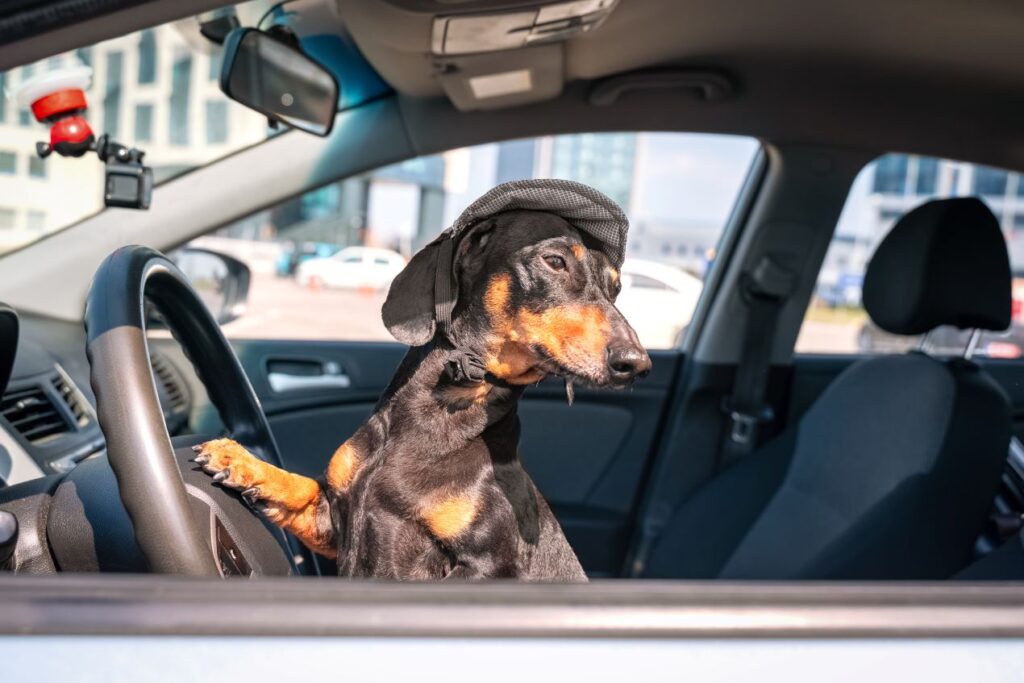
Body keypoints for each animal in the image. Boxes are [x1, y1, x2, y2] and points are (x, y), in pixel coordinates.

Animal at [193, 205, 647, 581]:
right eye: (554, 261)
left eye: (615, 288)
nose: (637, 364)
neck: (434, 420)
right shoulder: (332, 519)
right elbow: (300, 489)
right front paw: (238, 460)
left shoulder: (488, 566)